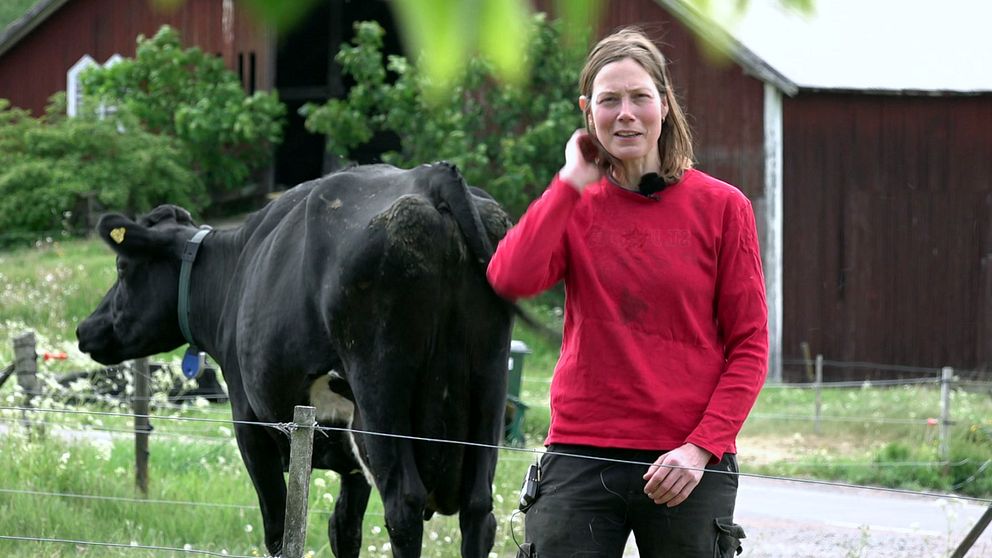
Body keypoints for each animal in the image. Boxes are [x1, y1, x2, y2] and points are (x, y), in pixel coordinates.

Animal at [77, 164, 516, 556]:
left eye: (122, 267)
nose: (85, 329)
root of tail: (432, 176)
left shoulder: (250, 425)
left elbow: (277, 529)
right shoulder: (352, 454)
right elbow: (344, 529)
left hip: (381, 391)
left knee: (404, 508)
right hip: (488, 386)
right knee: (478, 509)